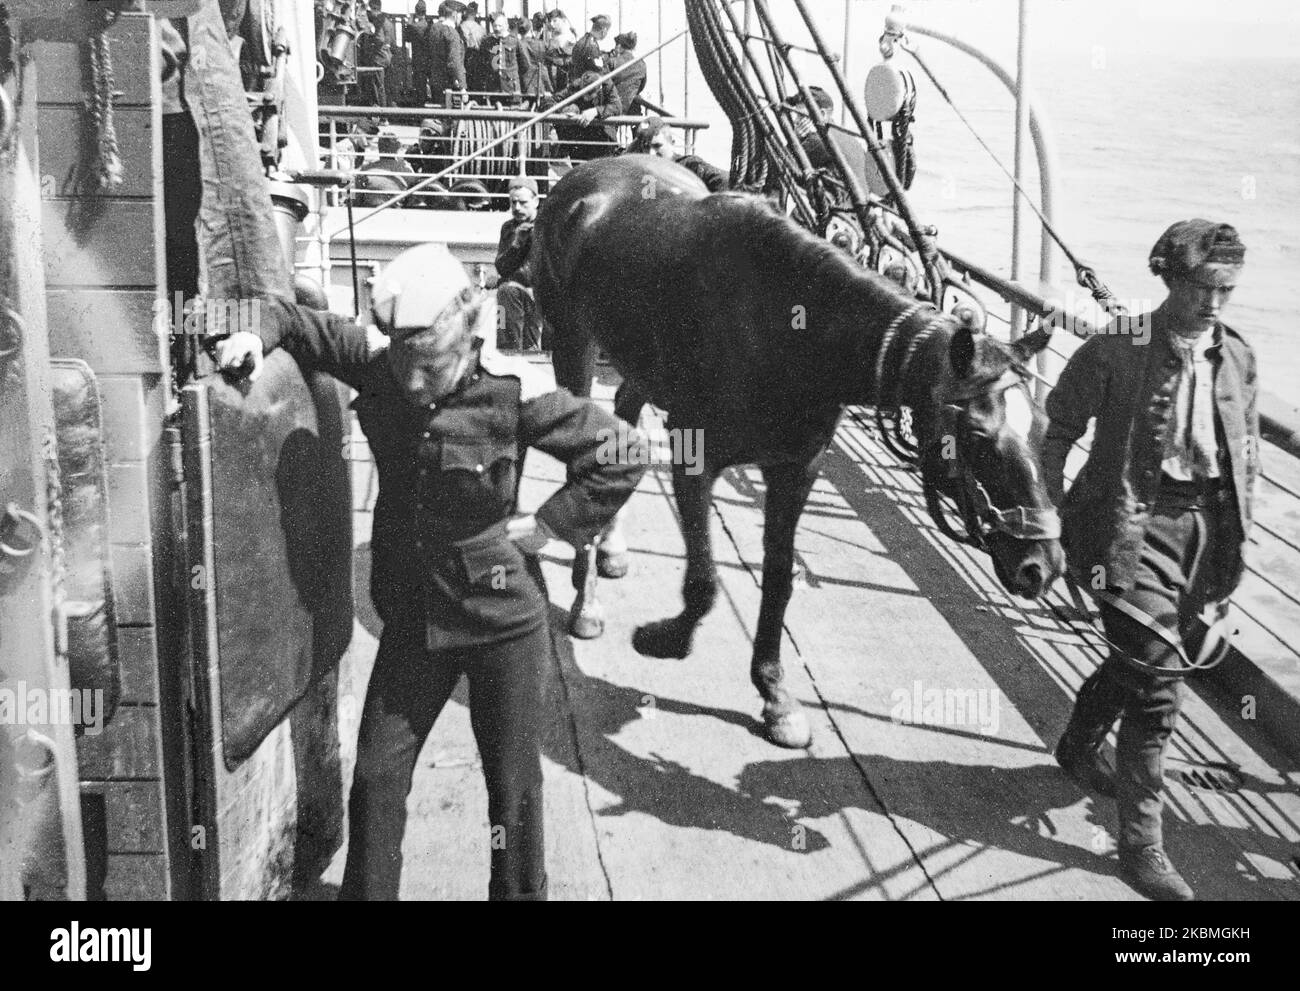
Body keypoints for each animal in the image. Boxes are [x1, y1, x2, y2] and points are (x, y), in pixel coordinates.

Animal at [533, 156, 1060, 738]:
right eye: (977, 435)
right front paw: (666, 637)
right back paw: (586, 600)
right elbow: (705, 580)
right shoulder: (695, 454)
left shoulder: (797, 468)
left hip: (642, 368)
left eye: (1036, 427)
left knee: (622, 417)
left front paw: (774, 691)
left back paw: (611, 547)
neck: (793, 332)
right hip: (571, 341)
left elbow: (781, 578)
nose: (1042, 563)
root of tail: (582, 175)